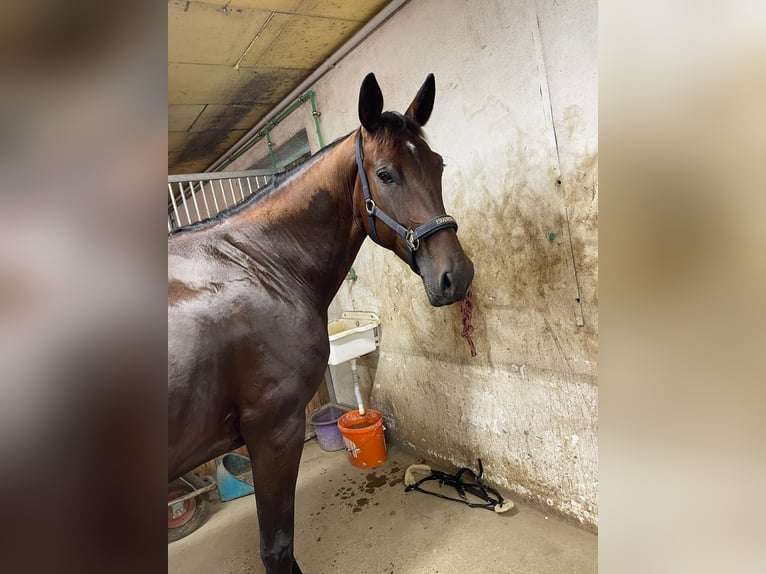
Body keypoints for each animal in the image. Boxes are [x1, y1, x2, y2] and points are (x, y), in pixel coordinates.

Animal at [168, 73, 474, 574]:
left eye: (439, 165)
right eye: (385, 174)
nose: (457, 276)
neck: (259, 265)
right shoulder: (274, 432)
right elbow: (278, 547)